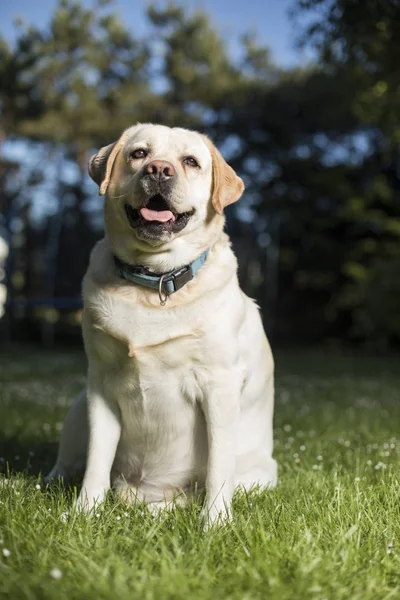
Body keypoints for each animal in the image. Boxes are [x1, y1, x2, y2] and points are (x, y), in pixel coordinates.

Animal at [46, 123, 278, 524]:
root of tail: (141, 492)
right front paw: (84, 512)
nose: (159, 170)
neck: (154, 279)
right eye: (139, 154)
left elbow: (218, 466)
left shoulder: (219, 385)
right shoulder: (101, 384)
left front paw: (216, 522)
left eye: (191, 162)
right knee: (69, 464)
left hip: (257, 476)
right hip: (78, 408)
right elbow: (96, 461)